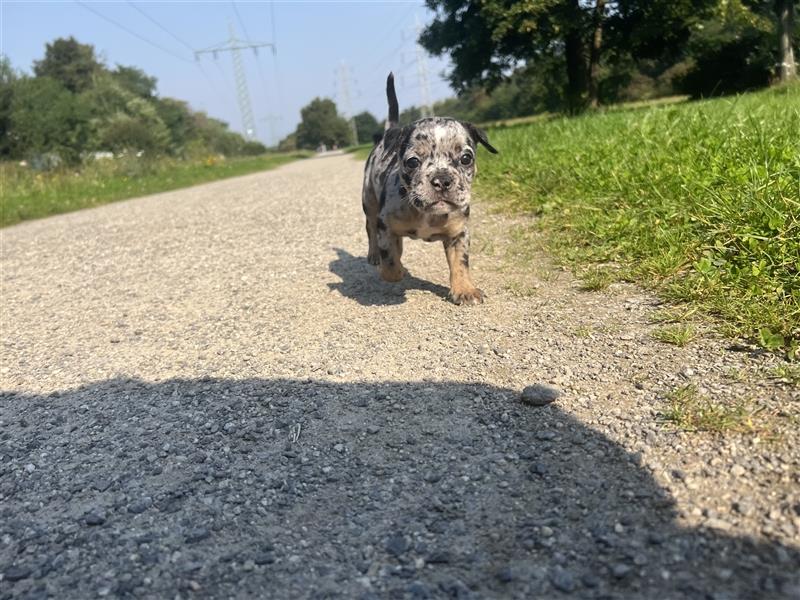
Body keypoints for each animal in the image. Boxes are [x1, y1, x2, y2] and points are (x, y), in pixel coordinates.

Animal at [360, 72, 496, 304]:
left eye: (466, 158)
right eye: (413, 162)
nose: (442, 179)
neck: (425, 214)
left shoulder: (458, 234)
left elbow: (460, 262)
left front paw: (465, 289)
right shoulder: (384, 224)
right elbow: (390, 261)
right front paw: (396, 270)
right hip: (369, 201)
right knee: (371, 229)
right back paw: (375, 255)